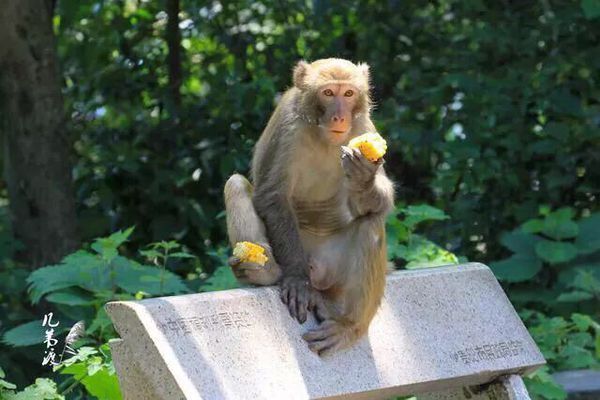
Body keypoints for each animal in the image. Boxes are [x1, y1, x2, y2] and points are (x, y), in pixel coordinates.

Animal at [224, 57, 394, 354]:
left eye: (348, 93)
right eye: (328, 93)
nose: (339, 116)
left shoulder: (364, 127)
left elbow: (382, 200)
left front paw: (363, 178)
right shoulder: (289, 129)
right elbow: (273, 195)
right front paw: (298, 281)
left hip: (337, 272)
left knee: (371, 222)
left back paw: (349, 325)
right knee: (235, 184)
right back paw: (265, 273)